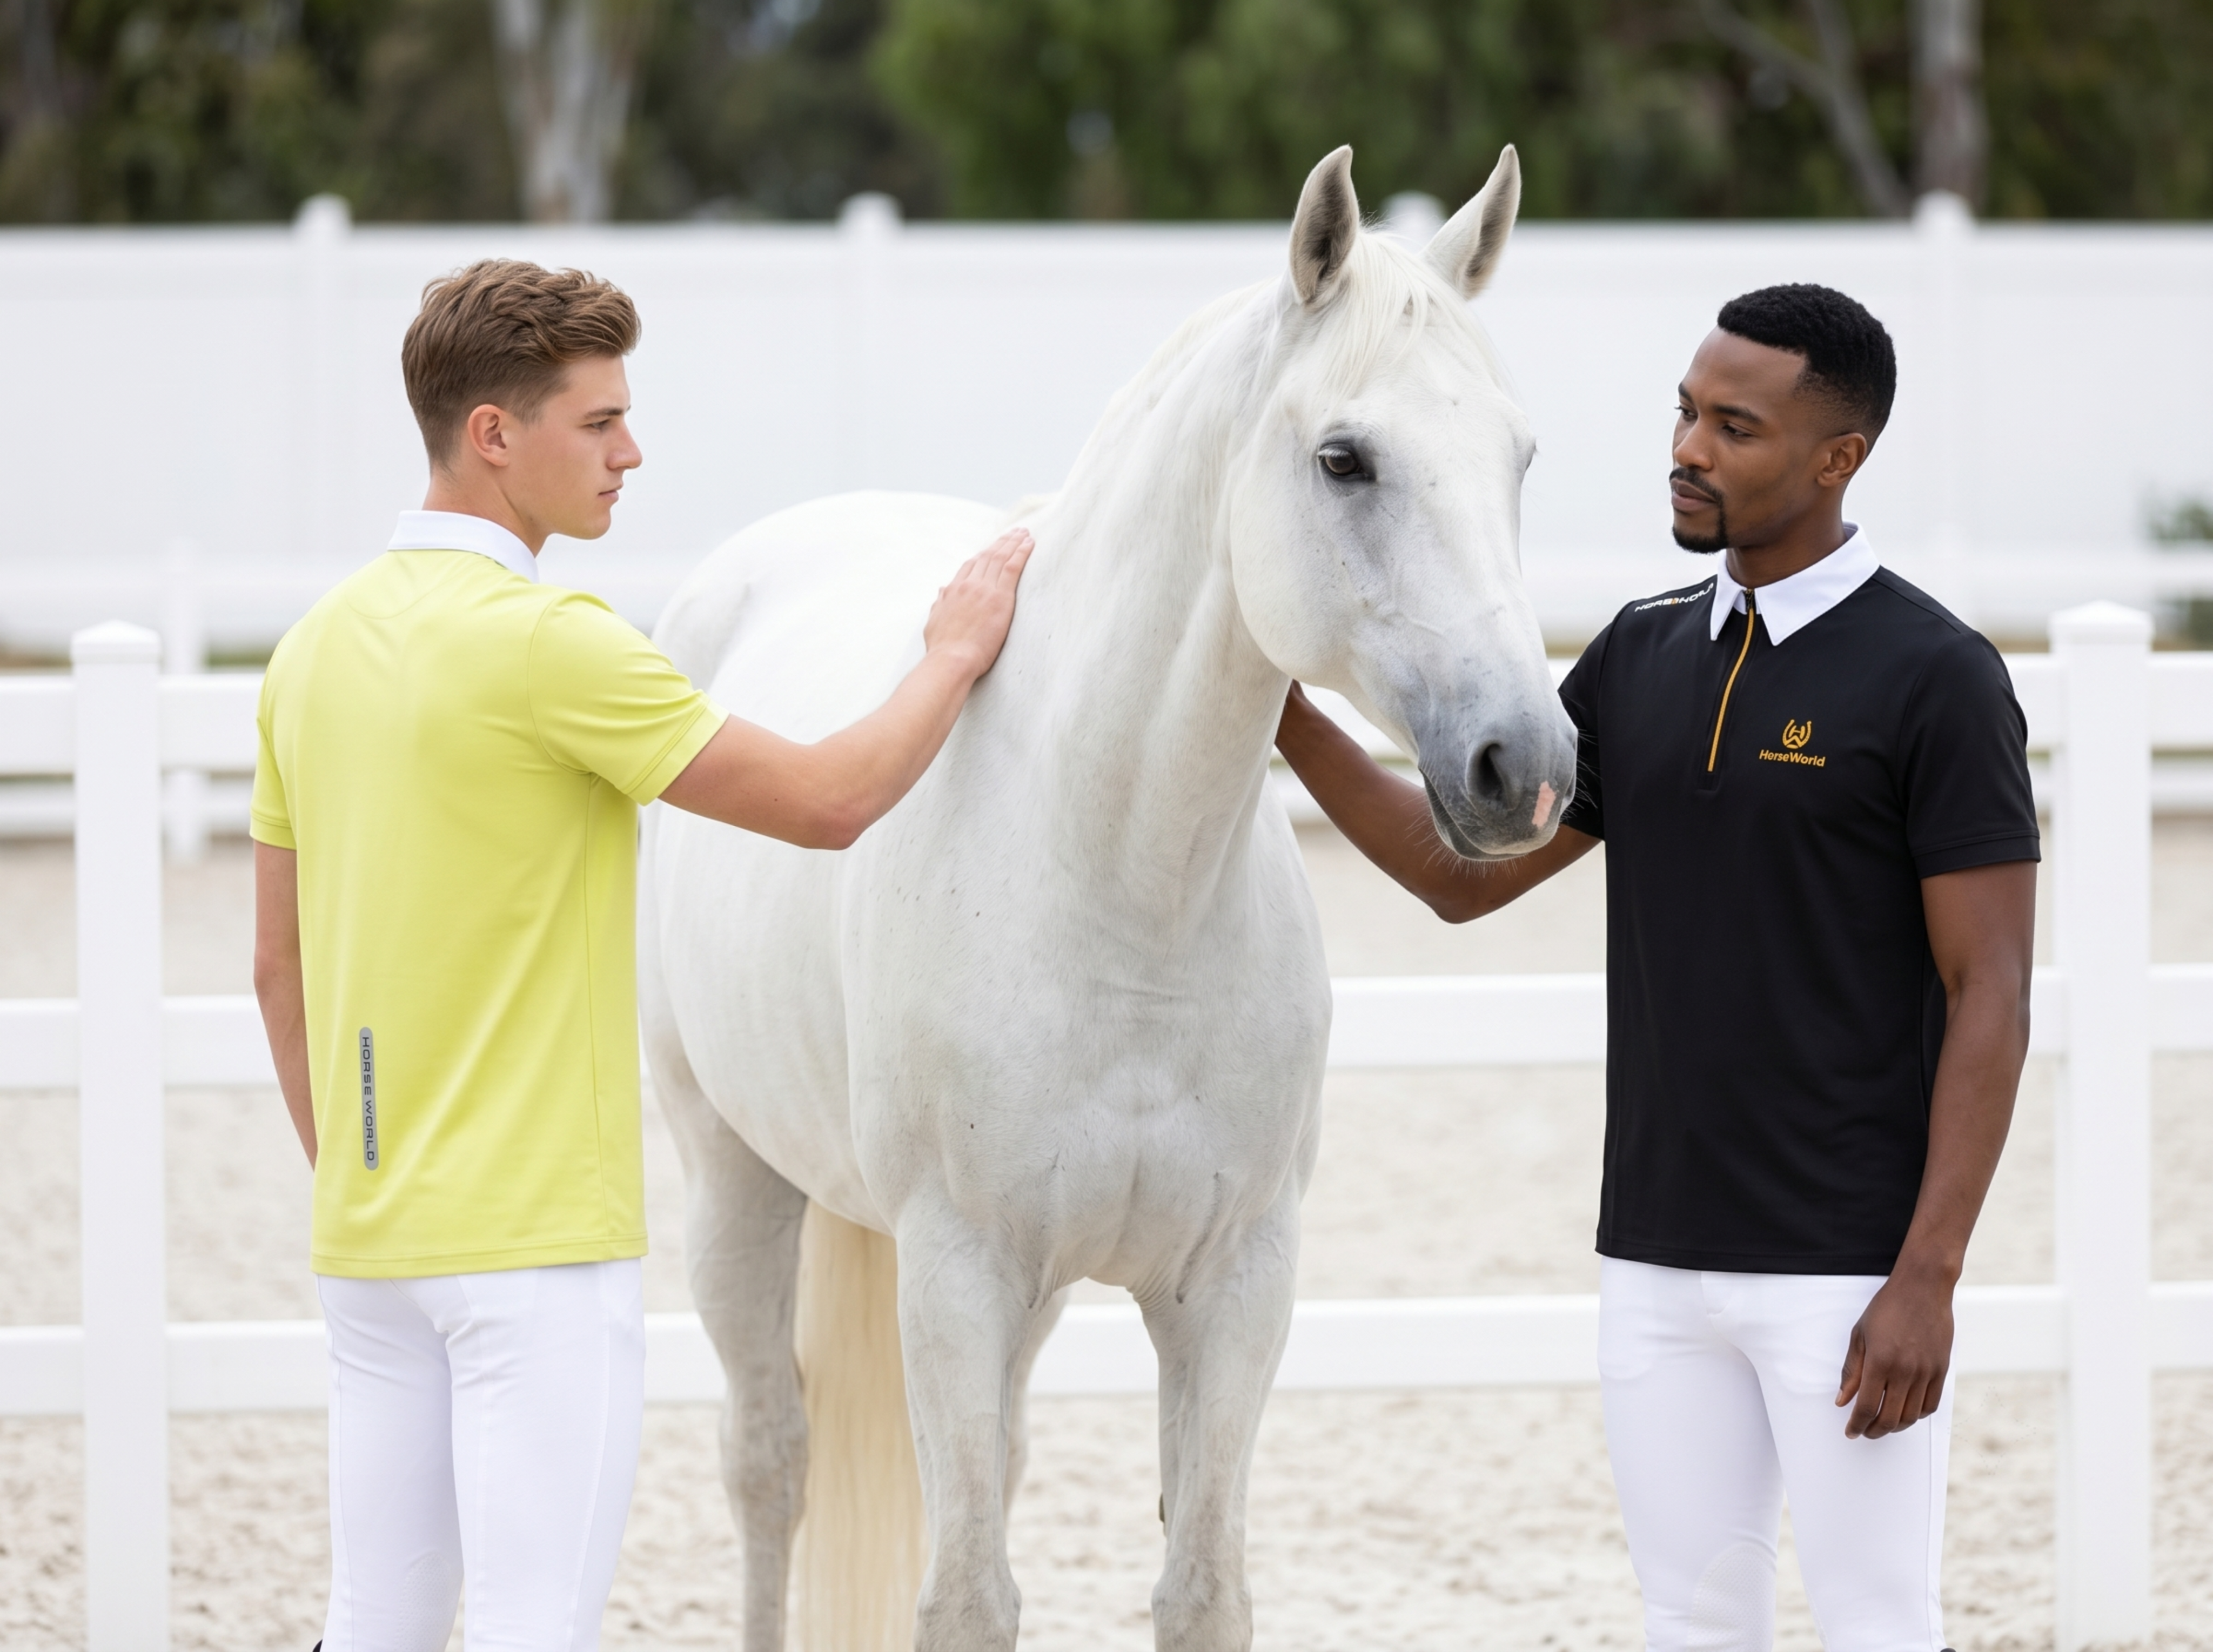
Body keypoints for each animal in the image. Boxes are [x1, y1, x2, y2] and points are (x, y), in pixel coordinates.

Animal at [639, 143, 1575, 1652]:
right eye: (1343, 457)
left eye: (1518, 457)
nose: (1526, 767)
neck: (1126, 896)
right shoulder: (956, 1274)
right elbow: (966, 1594)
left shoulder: (1233, 1286)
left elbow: (1200, 1585)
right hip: (734, 1179)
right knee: (768, 1460)